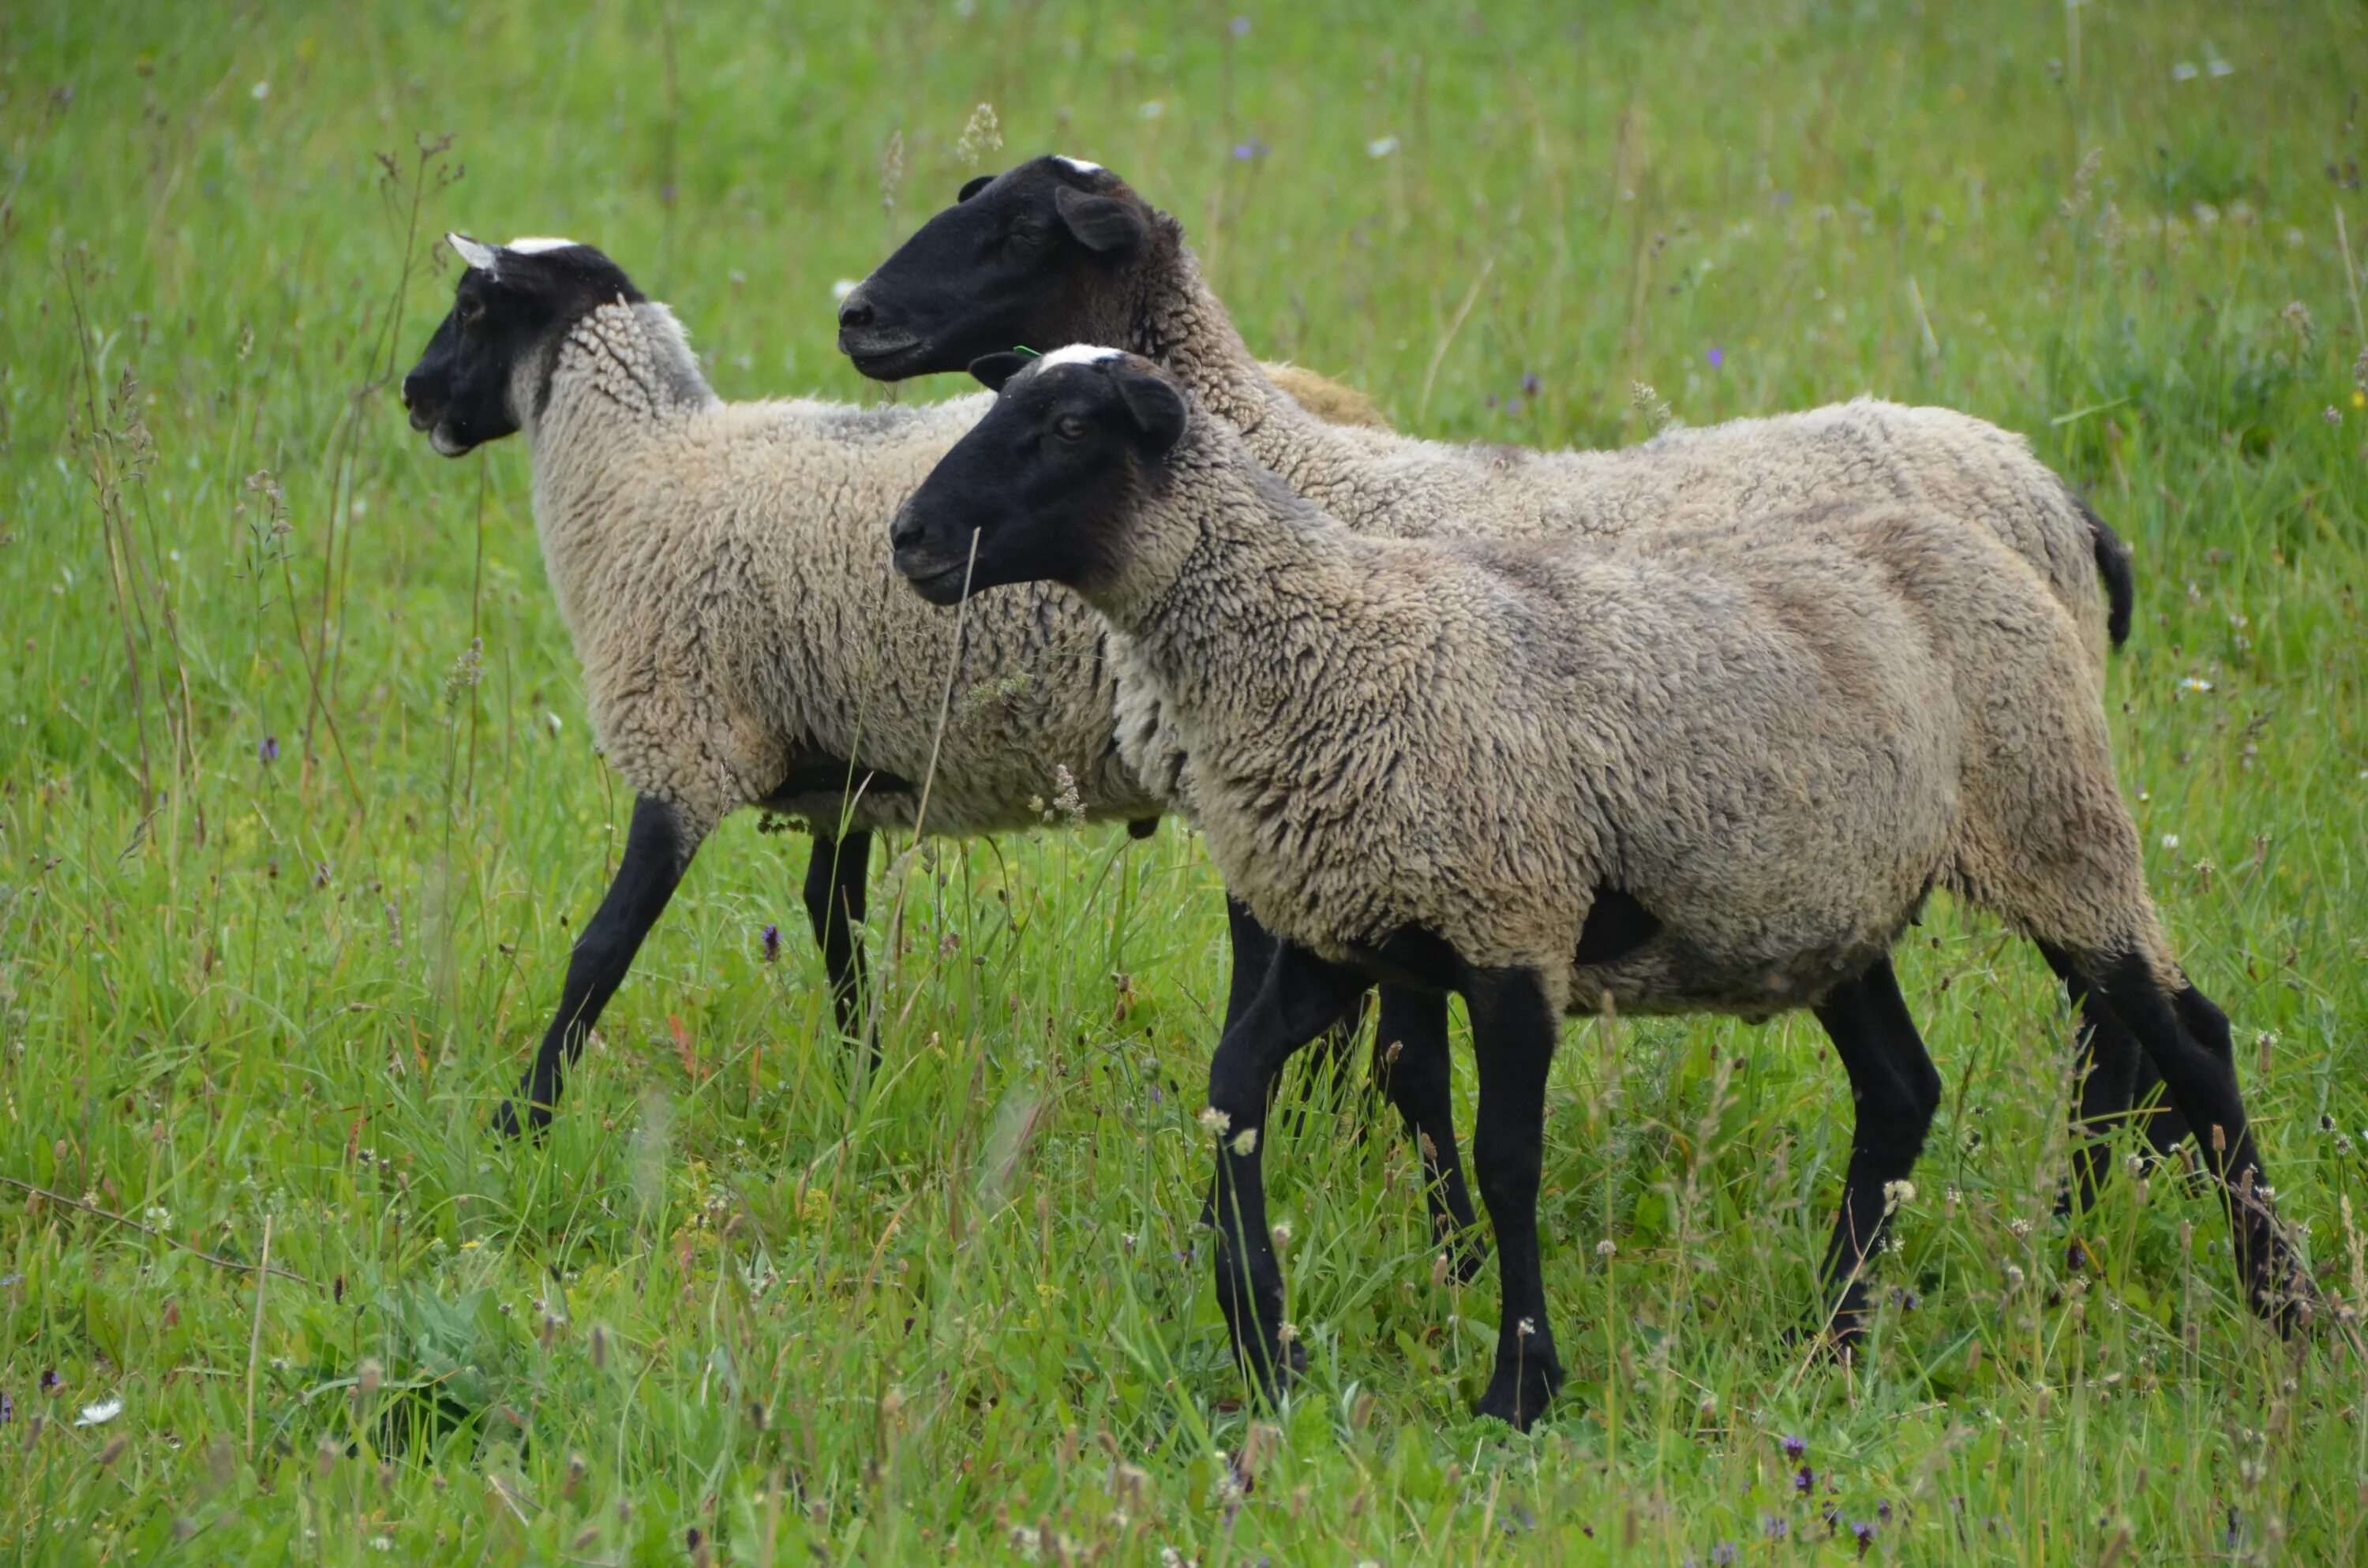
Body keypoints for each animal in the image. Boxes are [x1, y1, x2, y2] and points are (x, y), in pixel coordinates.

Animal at [403, 233, 1402, 1136]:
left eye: (472, 305)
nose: (413, 394)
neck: (641, 471)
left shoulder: (686, 742)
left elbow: (602, 948)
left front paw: (523, 1120)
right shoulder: (839, 772)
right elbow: (834, 928)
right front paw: (864, 1088)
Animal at [838, 156, 2179, 1212]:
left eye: (1021, 228)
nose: (856, 313)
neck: (1289, 475)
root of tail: (2055, 491)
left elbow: (1387, 1058)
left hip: (2026, 782)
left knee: (2118, 1027)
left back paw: (2084, 1230)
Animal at [890, 350, 2292, 1439]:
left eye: (1071, 428)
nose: (908, 538)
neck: (1330, 641)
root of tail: (2013, 527)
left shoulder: (1515, 921)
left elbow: (1507, 1159)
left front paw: (1519, 1383)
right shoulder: (1351, 925)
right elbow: (1235, 1096)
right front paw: (1260, 1340)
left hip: (2055, 825)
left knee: (2189, 1037)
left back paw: (2283, 1303)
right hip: (1832, 896)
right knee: (1903, 1089)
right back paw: (1830, 1338)